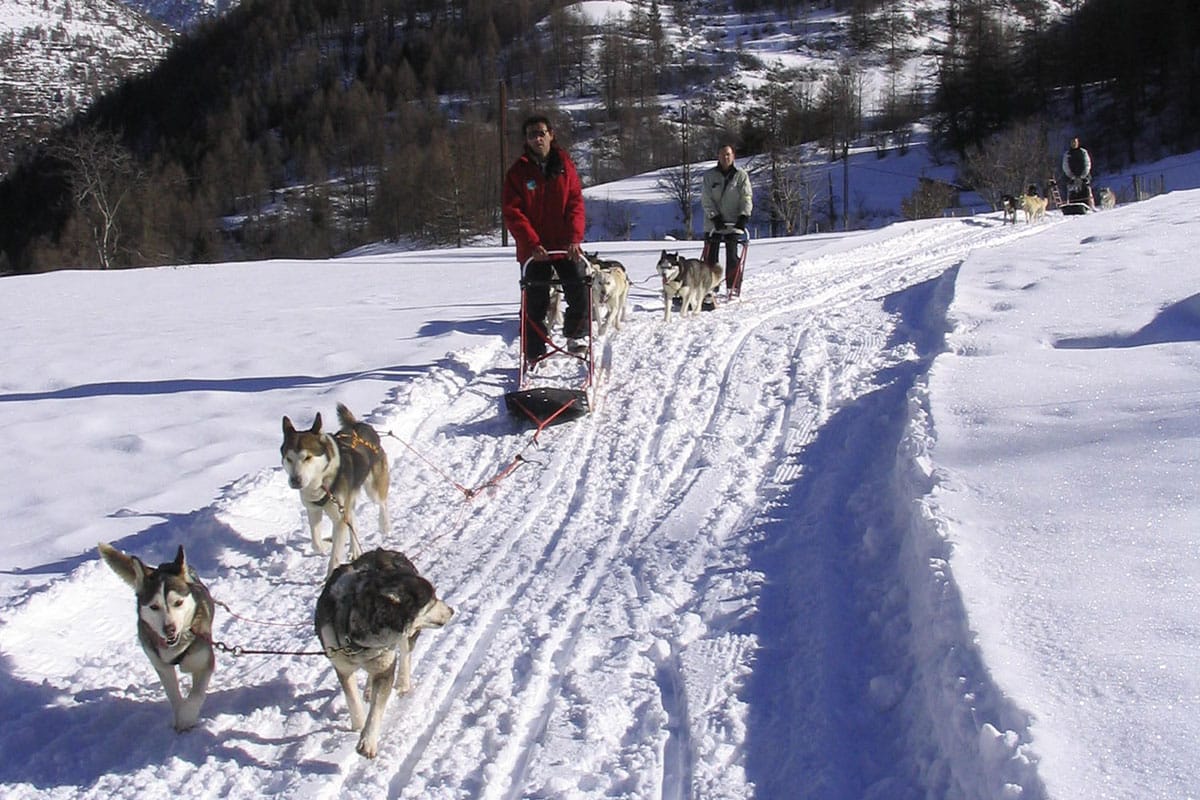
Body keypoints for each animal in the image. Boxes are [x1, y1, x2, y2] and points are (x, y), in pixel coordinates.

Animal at [97, 544, 217, 734]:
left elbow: (195, 696)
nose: (169, 629)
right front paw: (180, 715)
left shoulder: (204, 663)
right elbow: (174, 696)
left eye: (178, 603)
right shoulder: (162, 667)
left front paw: (186, 718)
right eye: (154, 606)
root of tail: (162, 566)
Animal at [280, 402, 388, 578]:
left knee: (382, 502)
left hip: (373, 489)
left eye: (307, 457)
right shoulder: (313, 510)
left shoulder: (339, 519)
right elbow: (316, 542)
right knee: (352, 519)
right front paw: (324, 545)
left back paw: (385, 525)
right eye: (289, 459)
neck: (322, 481)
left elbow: (336, 555)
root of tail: (358, 424)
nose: (295, 481)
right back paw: (354, 549)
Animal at [314, 546, 453, 762]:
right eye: (432, 599)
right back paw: (369, 689)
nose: (452, 610)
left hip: (407, 637)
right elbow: (352, 699)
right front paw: (358, 726)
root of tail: (386, 551)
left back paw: (403, 683)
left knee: (405, 655)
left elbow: (377, 708)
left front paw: (367, 741)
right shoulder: (342, 667)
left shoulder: (386, 666)